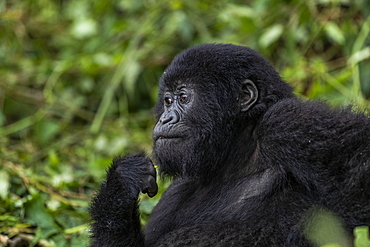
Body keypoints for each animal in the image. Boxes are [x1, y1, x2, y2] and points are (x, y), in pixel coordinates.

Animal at [89, 43, 370, 246]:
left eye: (183, 97)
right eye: (167, 100)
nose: (164, 119)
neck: (237, 153)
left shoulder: (285, 123)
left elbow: (359, 188)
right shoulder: (177, 190)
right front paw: (122, 181)